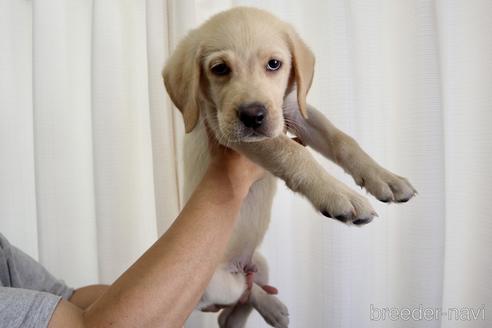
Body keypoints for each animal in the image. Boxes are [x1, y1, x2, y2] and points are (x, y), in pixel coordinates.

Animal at [163, 6, 418, 326]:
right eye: (219, 68)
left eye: (274, 64)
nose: (253, 115)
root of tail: (238, 264)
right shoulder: (224, 126)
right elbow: (292, 151)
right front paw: (339, 195)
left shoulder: (294, 109)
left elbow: (343, 140)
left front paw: (386, 179)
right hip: (205, 284)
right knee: (244, 290)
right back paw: (272, 307)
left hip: (260, 262)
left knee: (237, 306)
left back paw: (271, 309)